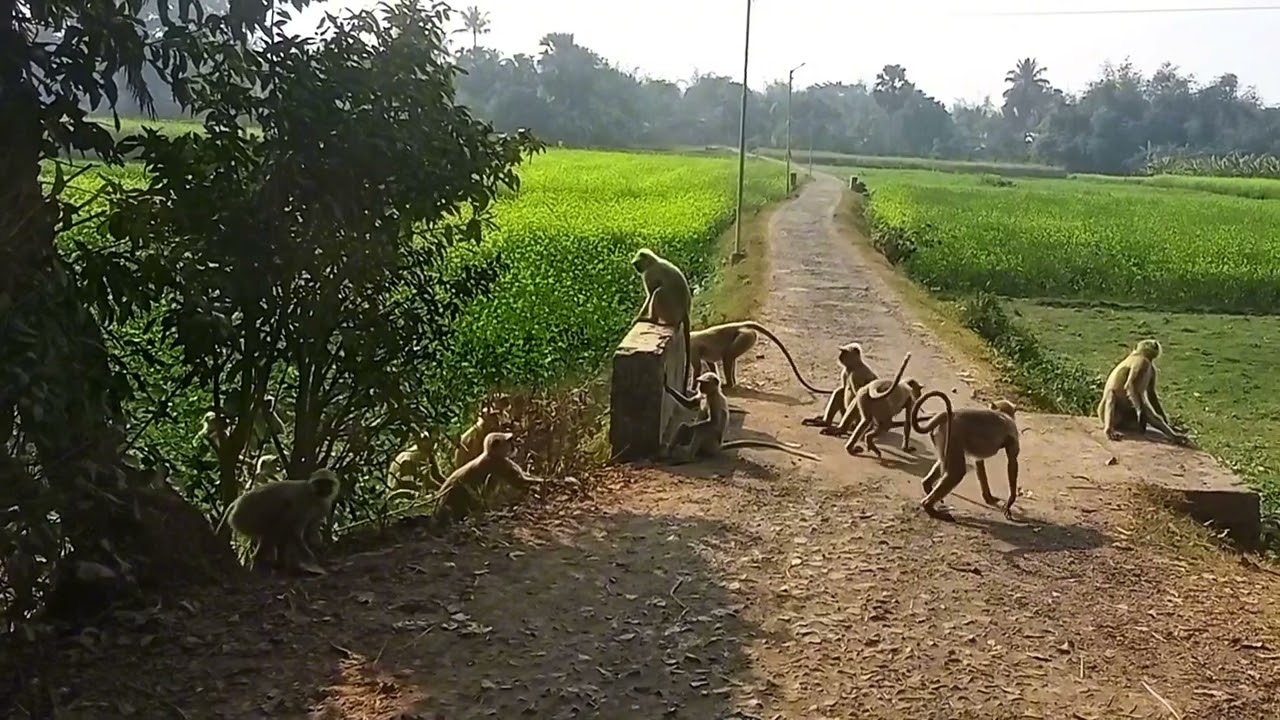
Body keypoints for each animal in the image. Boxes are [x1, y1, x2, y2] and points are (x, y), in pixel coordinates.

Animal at [631, 248, 693, 391]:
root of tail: (684, 311)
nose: (636, 269)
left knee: (658, 292)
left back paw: (652, 319)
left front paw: (638, 317)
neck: (654, 262)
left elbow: (650, 295)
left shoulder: (649, 274)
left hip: (670, 310)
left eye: (637, 263)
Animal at [663, 371, 821, 464]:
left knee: (701, 431)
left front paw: (690, 428)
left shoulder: (715, 401)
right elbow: (690, 405)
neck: (711, 394)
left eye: (704, 383)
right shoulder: (703, 396)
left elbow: (713, 422)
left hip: (710, 444)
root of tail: (718, 447)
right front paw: (666, 386)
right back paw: (668, 453)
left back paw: (687, 458)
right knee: (687, 428)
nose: (699, 387)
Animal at [688, 320, 834, 394]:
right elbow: (710, 364)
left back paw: (729, 385)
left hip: (745, 336)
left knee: (728, 356)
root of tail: (742, 325)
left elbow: (697, 368)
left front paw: (692, 388)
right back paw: (732, 383)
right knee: (730, 357)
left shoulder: (692, 347)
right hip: (746, 337)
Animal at [910, 391, 1020, 521]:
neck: (1002, 413)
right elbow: (1012, 462)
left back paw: (928, 488)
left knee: (945, 464)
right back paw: (929, 507)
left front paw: (988, 497)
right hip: (952, 436)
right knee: (956, 472)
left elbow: (979, 462)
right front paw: (1010, 502)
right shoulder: (1012, 430)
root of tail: (948, 414)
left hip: (945, 438)